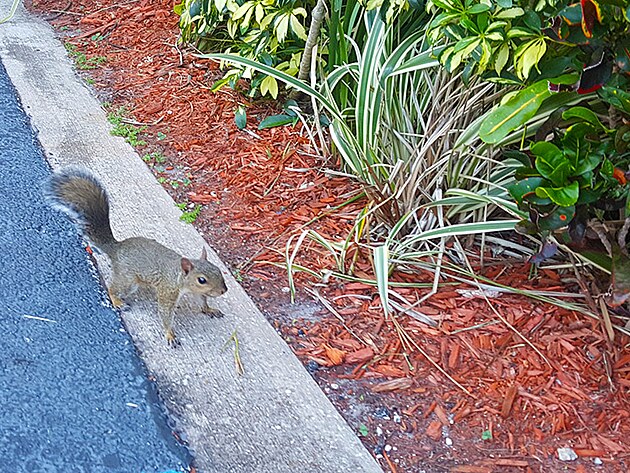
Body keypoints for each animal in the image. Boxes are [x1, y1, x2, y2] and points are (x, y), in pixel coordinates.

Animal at [46, 168, 230, 344]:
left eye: (218, 270)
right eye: (202, 280)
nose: (224, 290)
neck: (178, 277)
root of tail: (116, 248)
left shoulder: (194, 292)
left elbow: (201, 300)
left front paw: (208, 309)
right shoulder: (167, 291)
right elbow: (165, 313)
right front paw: (170, 334)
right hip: (128, 280)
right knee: (113, 288)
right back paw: (118, 301)